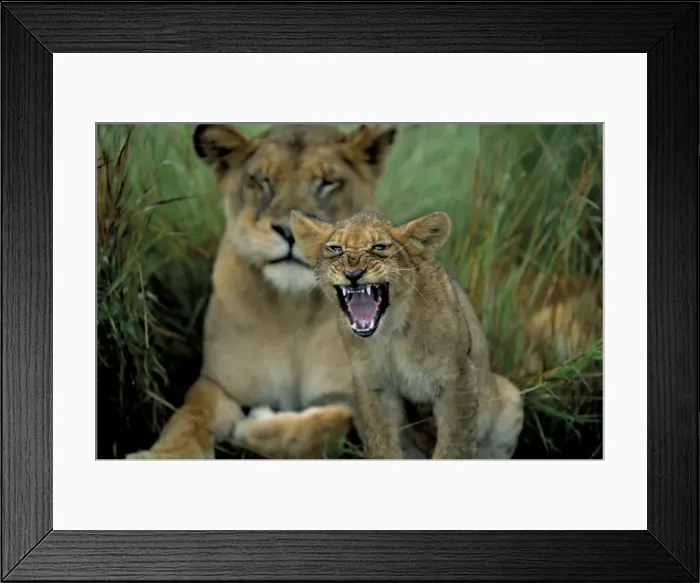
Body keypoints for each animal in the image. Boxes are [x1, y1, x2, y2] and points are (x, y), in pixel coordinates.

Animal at [127, 122, 404, 460]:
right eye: (261, 180)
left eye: (327, 182)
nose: (289, 231)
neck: (292, 311)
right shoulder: (221, 384)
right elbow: (190, 414)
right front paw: (166, 454)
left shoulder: (369, 399)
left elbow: (332, 426)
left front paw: (254, 426)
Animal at [289, 209, 525, 459]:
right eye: (335, 248)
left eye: (380, 247)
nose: (353, 273)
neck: (390, 331)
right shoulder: (373, 384)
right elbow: (382, 443)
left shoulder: (457, 376)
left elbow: (454, 444)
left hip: (510, 396)